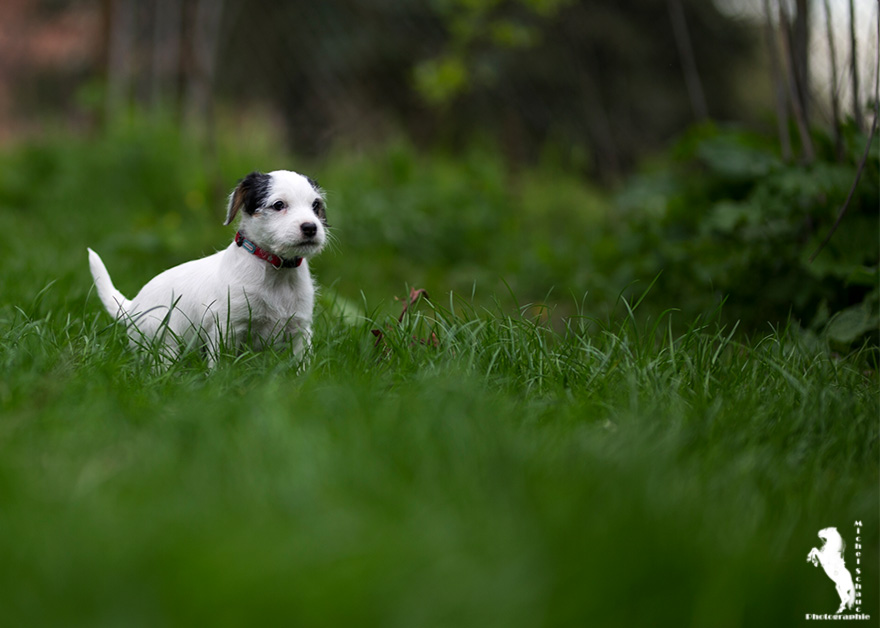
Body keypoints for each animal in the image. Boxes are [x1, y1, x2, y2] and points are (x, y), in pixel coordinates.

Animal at [87, 170, 328, 364]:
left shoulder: (300, 329)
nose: (310, 227)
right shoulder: (227, 328)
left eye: (315, 206)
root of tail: (133, 307)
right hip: (162, 342)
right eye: (279, 205)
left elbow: (301, 362)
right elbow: (220, 363)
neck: (276, 270)